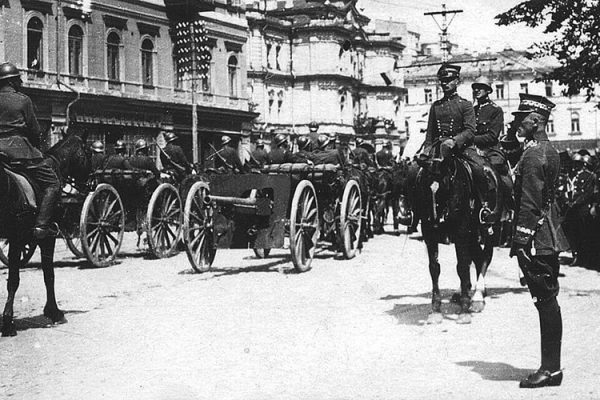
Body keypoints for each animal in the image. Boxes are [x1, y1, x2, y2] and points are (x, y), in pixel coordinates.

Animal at [414, 147, 500, 324]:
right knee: (478, 257)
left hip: (488, 228)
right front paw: (436, 310)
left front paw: (465, 310)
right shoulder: (429, 235)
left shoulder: (461, 232)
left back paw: (477, 296)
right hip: (473, 234)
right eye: (424, 185)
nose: (435, 220)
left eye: (445, 185)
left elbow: (462, 267)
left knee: (485, 256)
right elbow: (434, 268)